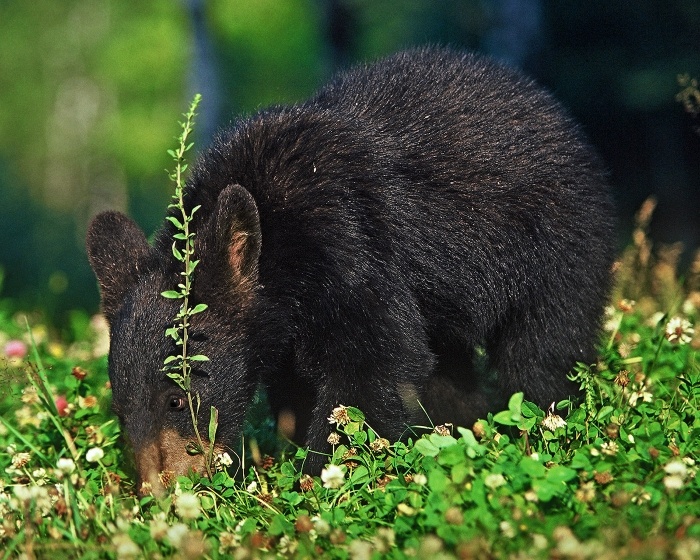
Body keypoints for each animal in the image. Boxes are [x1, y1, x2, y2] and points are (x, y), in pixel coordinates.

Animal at [86, 48, 612, 490]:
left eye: (177, 398)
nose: (159, 490)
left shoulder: (350, 246)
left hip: (558, 245)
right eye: (121, 406)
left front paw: (318, 479)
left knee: (542, 348)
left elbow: (373, 364)